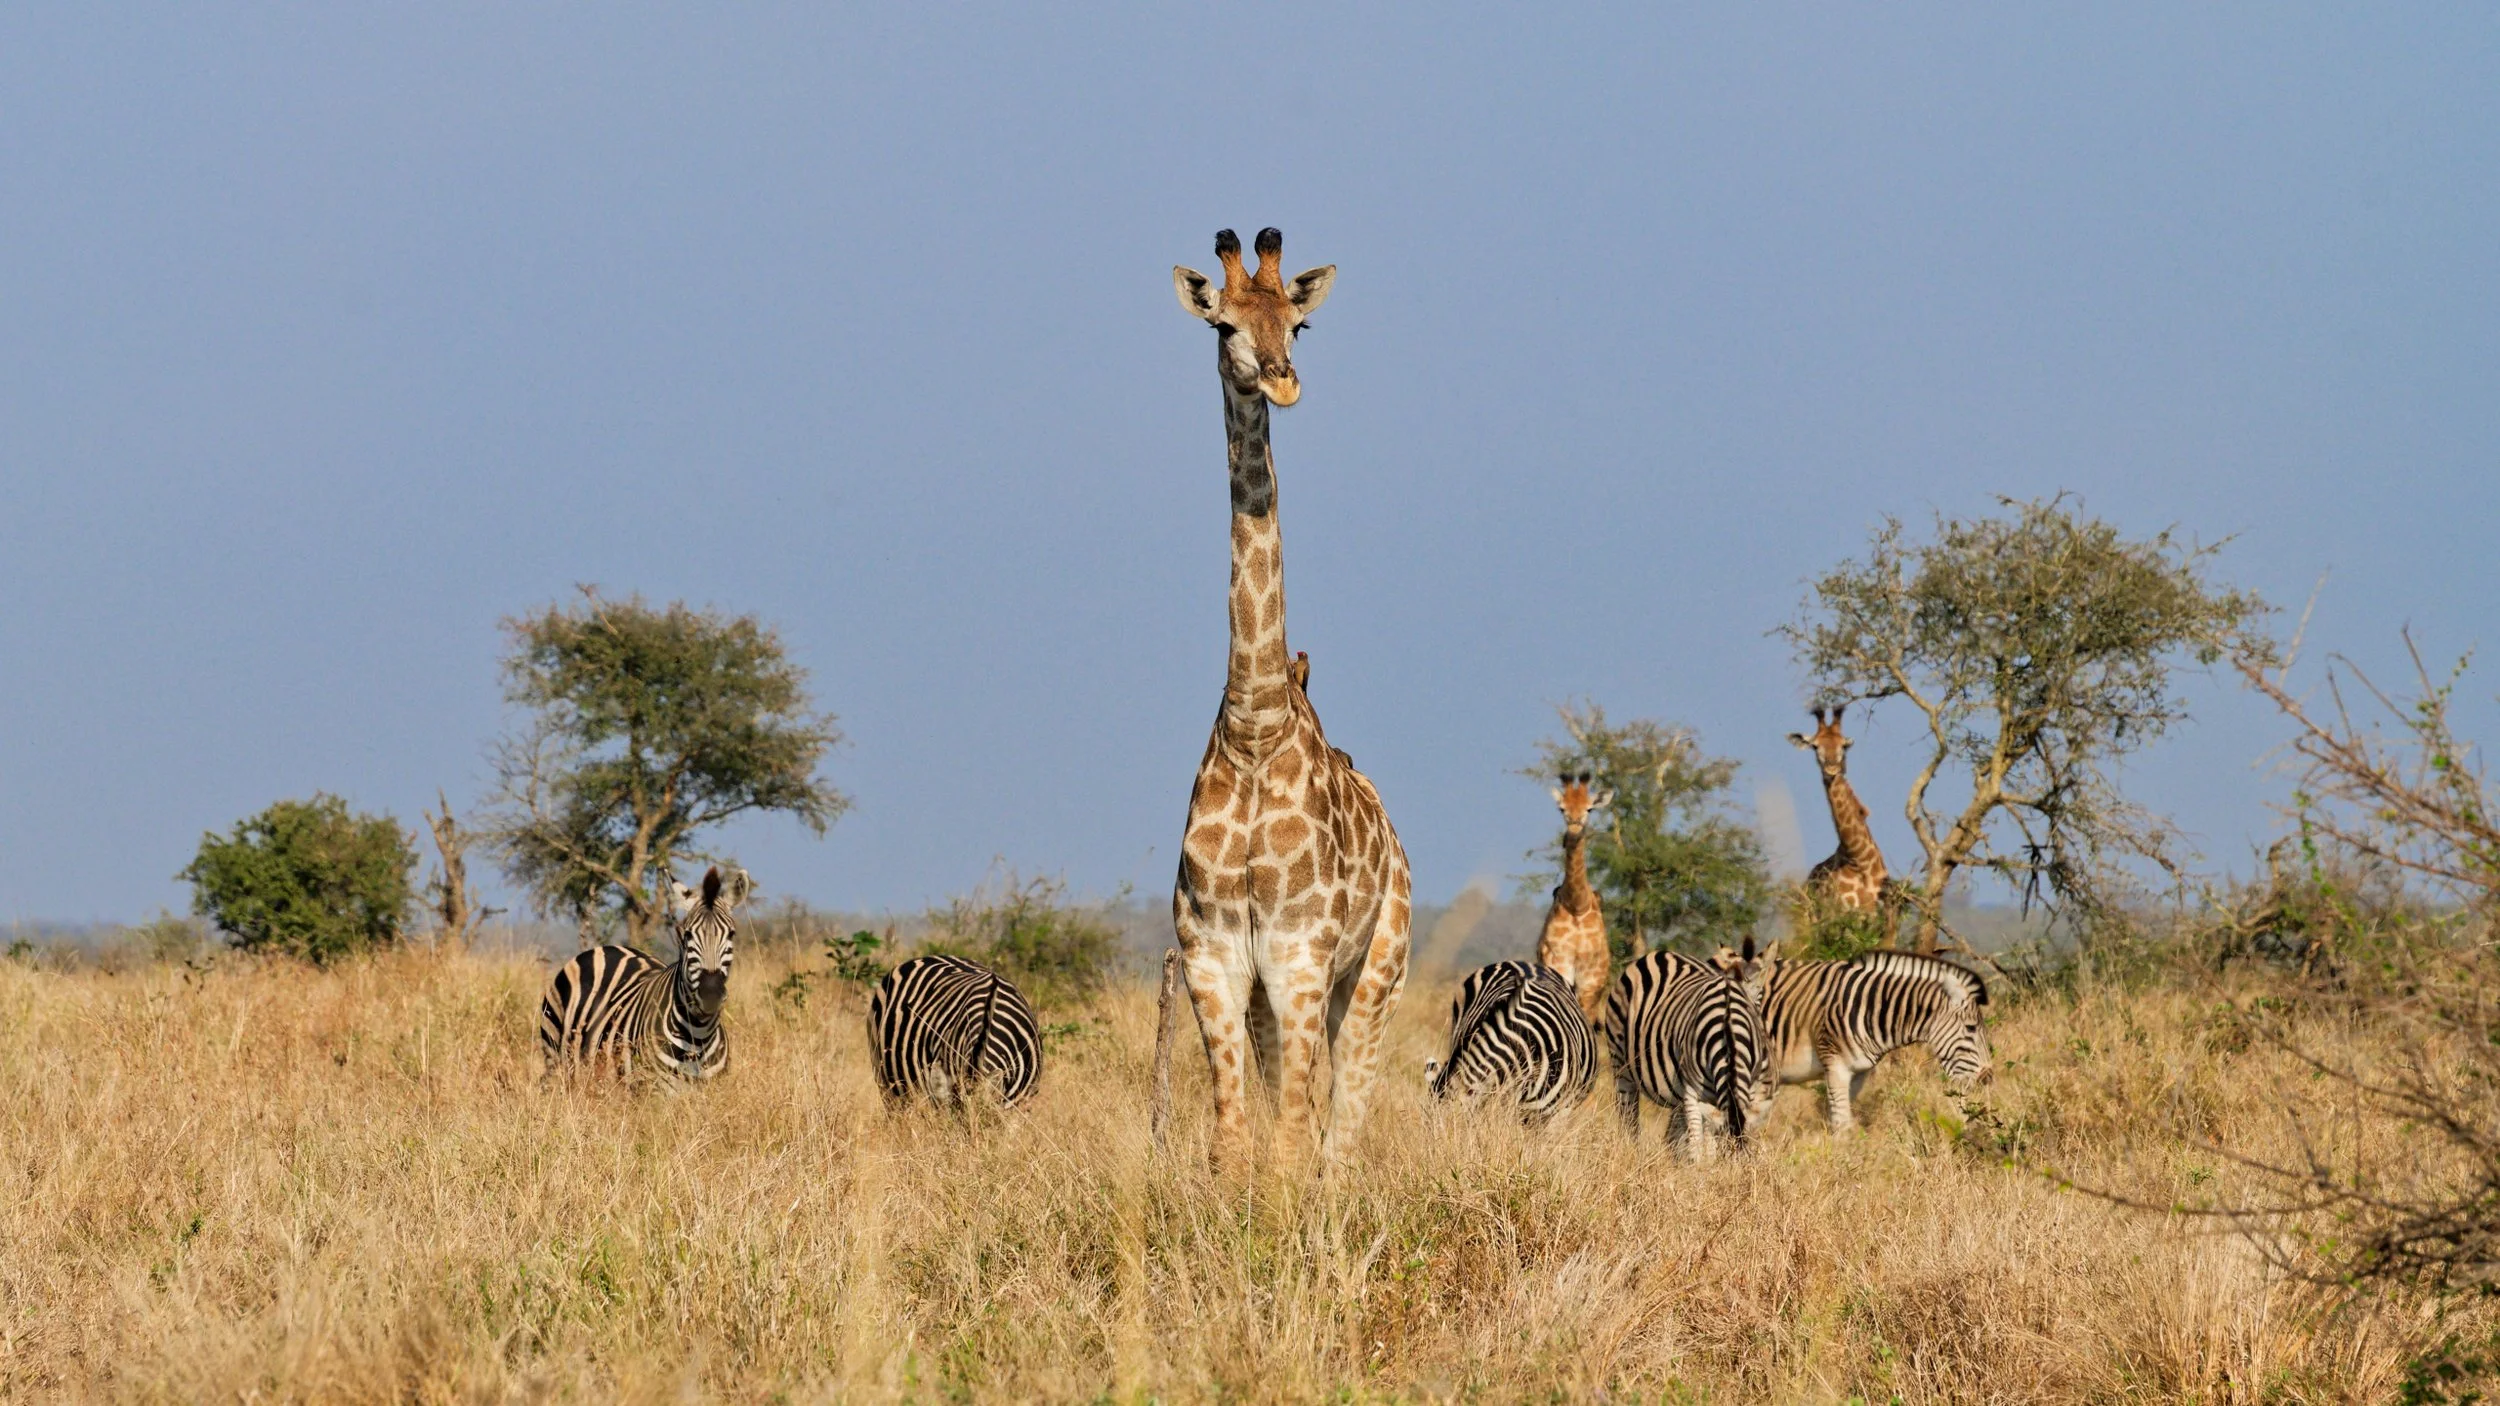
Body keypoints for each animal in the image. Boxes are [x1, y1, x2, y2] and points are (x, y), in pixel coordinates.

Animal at [1169, 227, 1413, 1174]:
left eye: (1299, 324)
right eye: (1223, 324)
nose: (1280, 379)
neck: (1255, 722)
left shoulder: (1302, 957)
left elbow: (1288, 1149)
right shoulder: (1213, 959)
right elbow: (1233, 1142)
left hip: (1377, 971)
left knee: (1343, 1128)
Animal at [1537, 772, 1611, 1024]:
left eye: (1590, 809)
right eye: (1562, 808)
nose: (1573, 831)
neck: (1577, 904)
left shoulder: (1591, 980)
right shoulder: (1559, 965)